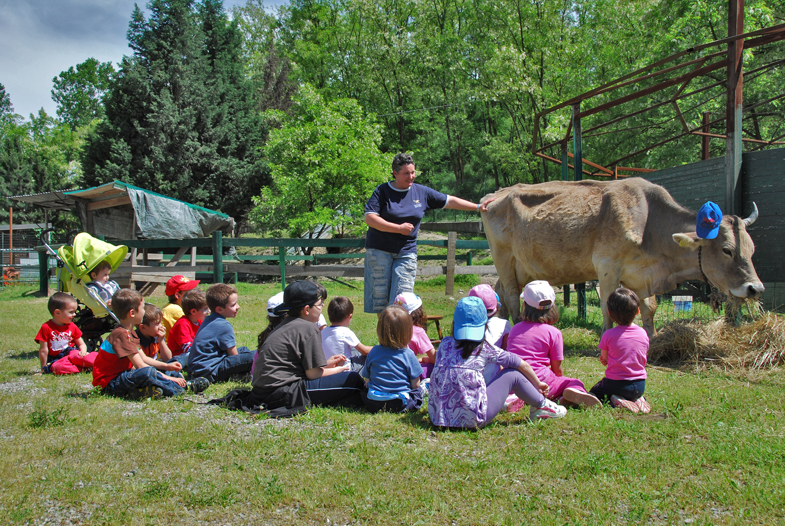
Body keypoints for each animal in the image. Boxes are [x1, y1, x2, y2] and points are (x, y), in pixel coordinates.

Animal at [480, 177, 764, 334]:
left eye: (752, 249)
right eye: (727, 250)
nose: (755, 288)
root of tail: (494, 195)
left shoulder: (642, 276)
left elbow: (649, 308)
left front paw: (653, 337)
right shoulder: (608, 266)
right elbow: (607, 304)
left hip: (521, 267)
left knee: (502, 291)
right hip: (502, 257)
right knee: (512, 296)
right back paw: (517, 326)